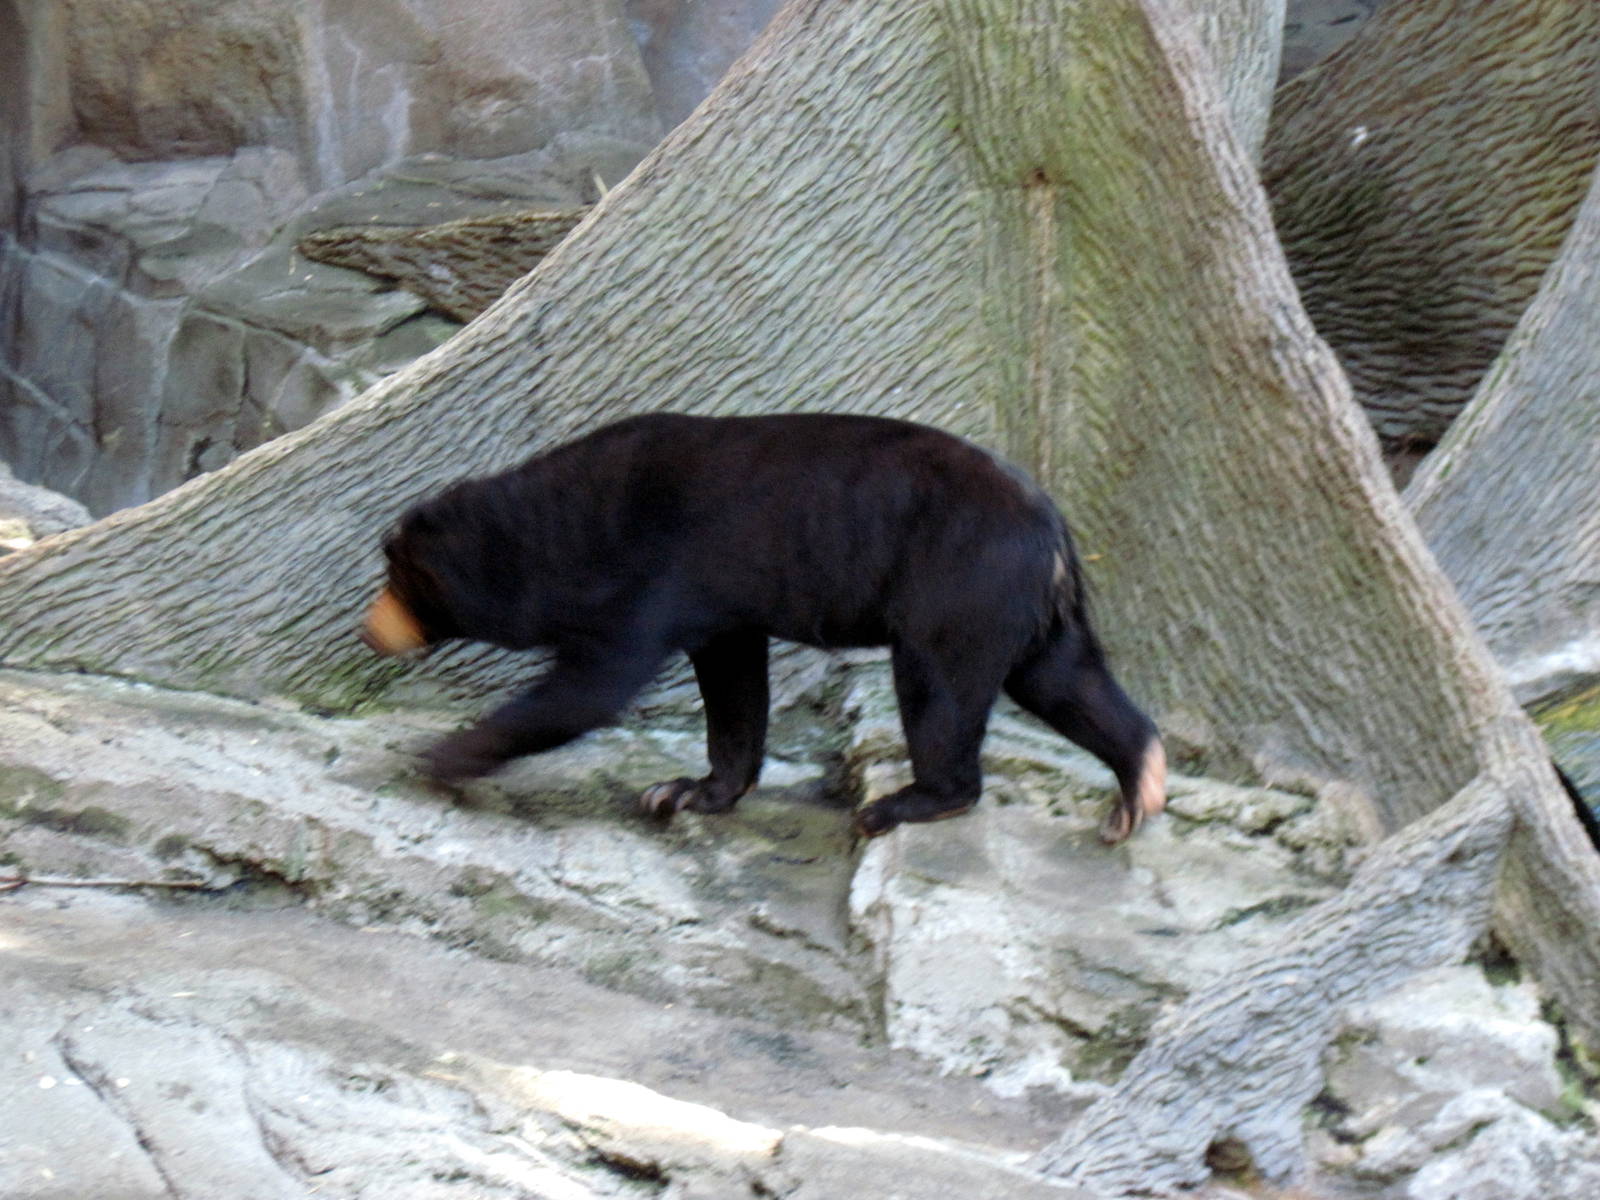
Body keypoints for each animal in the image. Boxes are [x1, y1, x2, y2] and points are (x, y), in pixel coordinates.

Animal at [361, 411, 1166, 842]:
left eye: (397, 580)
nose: (369, 632)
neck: (558, 526)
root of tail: (1053, 533)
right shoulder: (721, 602)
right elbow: (734, 683)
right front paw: (685, 791)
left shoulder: (650, 565)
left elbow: (594, 685)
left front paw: (441, 756)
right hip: (1025, 608)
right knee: (1064, 679)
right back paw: (1136, 792)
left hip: (955, 583)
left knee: (937, 688)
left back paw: (899, 804)